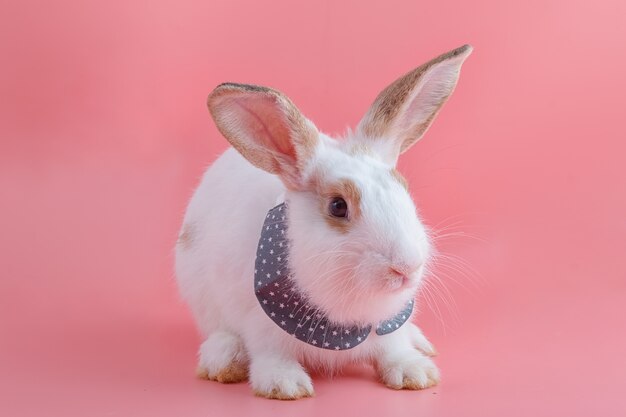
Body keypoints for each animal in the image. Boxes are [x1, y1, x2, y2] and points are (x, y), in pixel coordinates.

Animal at [173, 44, 470, 398]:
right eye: (338, 206)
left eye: (404, 189)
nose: (407, 267)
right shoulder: (260, 327)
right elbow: (272, 355)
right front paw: (284, 385)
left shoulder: (389, 324)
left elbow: (393, 349)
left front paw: (416, 373)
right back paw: (223, 360)